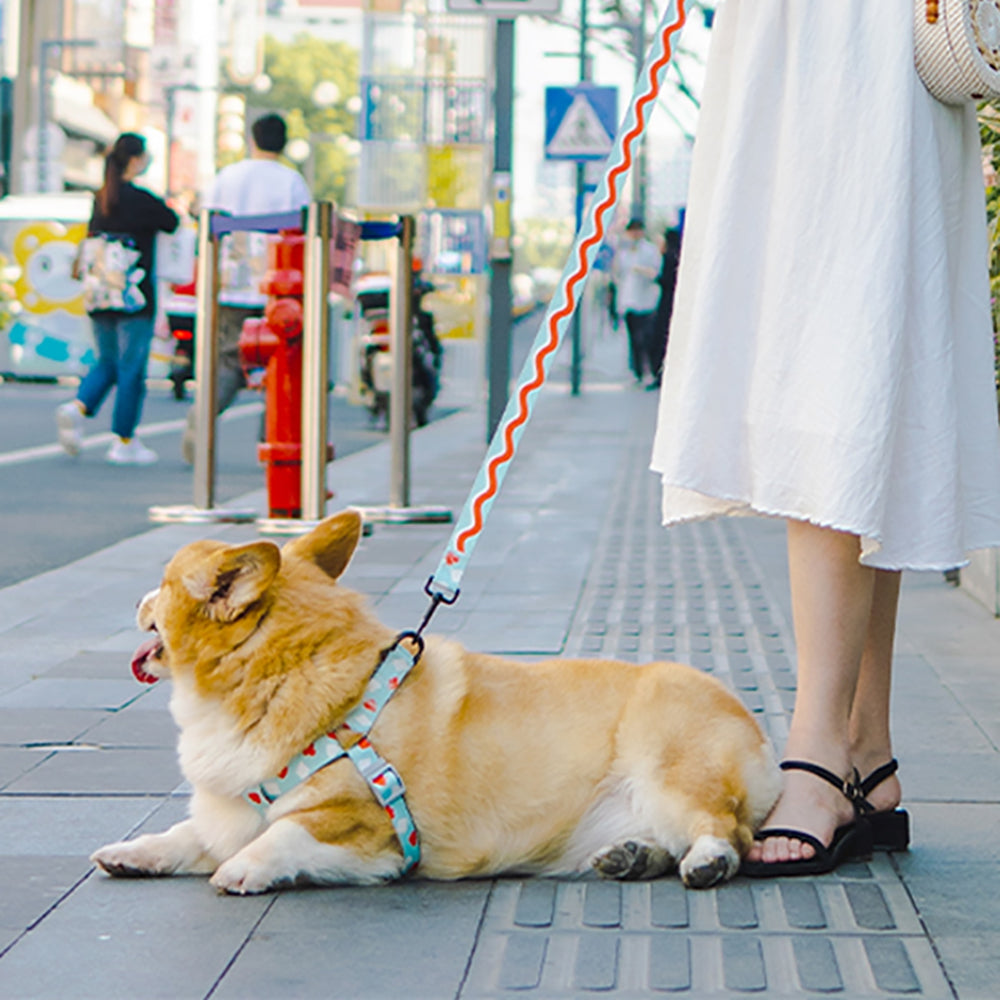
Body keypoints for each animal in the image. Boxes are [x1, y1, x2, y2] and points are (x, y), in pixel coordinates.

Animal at [92, 512, 780, 896]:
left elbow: (285, 831)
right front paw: (134, 852)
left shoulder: (374, 834)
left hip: (673, 773)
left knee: (730, 831)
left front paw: (245, 868)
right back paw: (631, 857)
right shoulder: (227, 814)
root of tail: (762, 740)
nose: (135, 600)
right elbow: (184, 834)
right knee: (668, 839)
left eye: (161, 586)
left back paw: (708, 861)